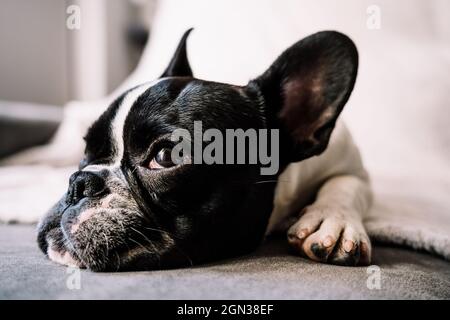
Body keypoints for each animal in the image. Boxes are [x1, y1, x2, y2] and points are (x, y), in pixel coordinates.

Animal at [36, 29, 372, 270]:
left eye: (165, 157)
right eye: (87, 152)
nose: (79, 182)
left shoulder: (352, 165)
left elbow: (346, 183)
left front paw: (335, 221)